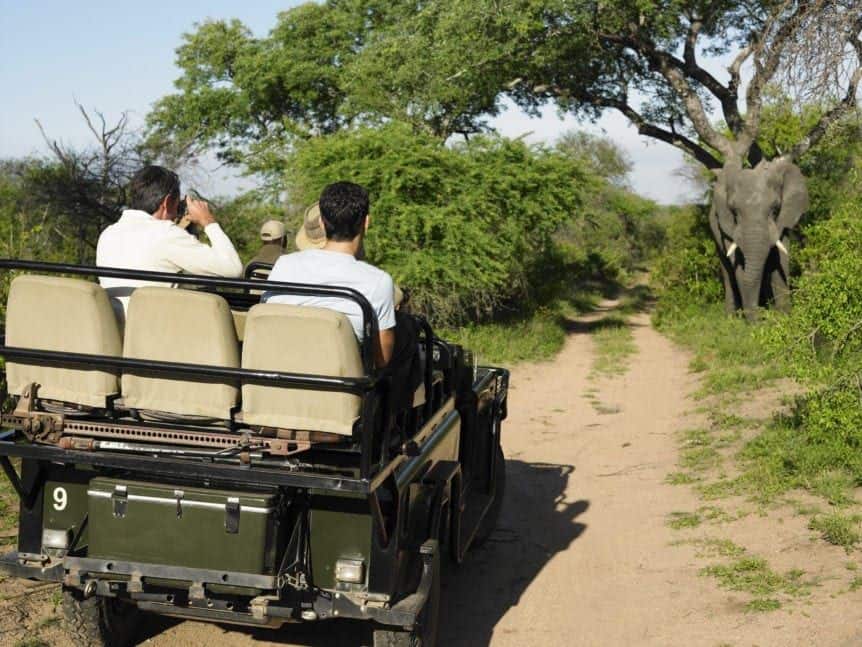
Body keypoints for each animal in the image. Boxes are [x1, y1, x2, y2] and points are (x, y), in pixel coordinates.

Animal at [708, 157, 808, 318]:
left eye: (775, 208)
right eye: (734, 211)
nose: (759, 318)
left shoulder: (782, 222)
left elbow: (780, 260)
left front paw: (784, 316)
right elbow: (738, 266)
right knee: (727, 272)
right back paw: (730, 318)